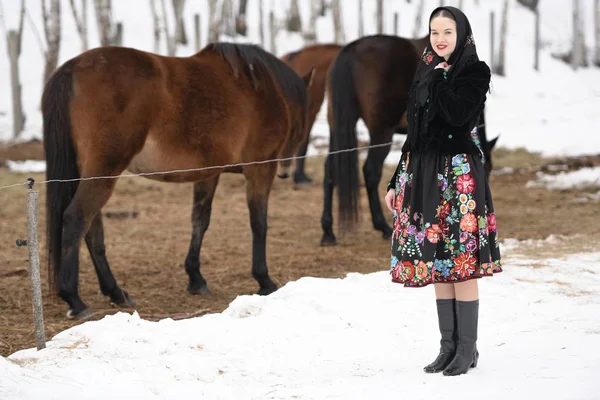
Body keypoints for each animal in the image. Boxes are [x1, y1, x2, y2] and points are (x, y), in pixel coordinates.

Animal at [42, 43, 314, 318]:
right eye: (302, 124)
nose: (286, 171)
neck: (260, 87)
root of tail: (73, 67)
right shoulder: (260, 168)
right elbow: (259, 223)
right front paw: (264, 280)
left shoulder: (209, 173)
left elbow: (200, 221)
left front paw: (196, 278)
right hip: (104, 171)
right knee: (77, 219)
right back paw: (75, 299)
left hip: (93, 173)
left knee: (92, 229)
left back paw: (116, 292)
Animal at [322, 34, 500, 245]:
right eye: (487, 168)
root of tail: (350, 51)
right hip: (381, 132)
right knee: (371, 171)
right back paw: (382, 226)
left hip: (336, 126)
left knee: (330, 169)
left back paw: (328, 231)